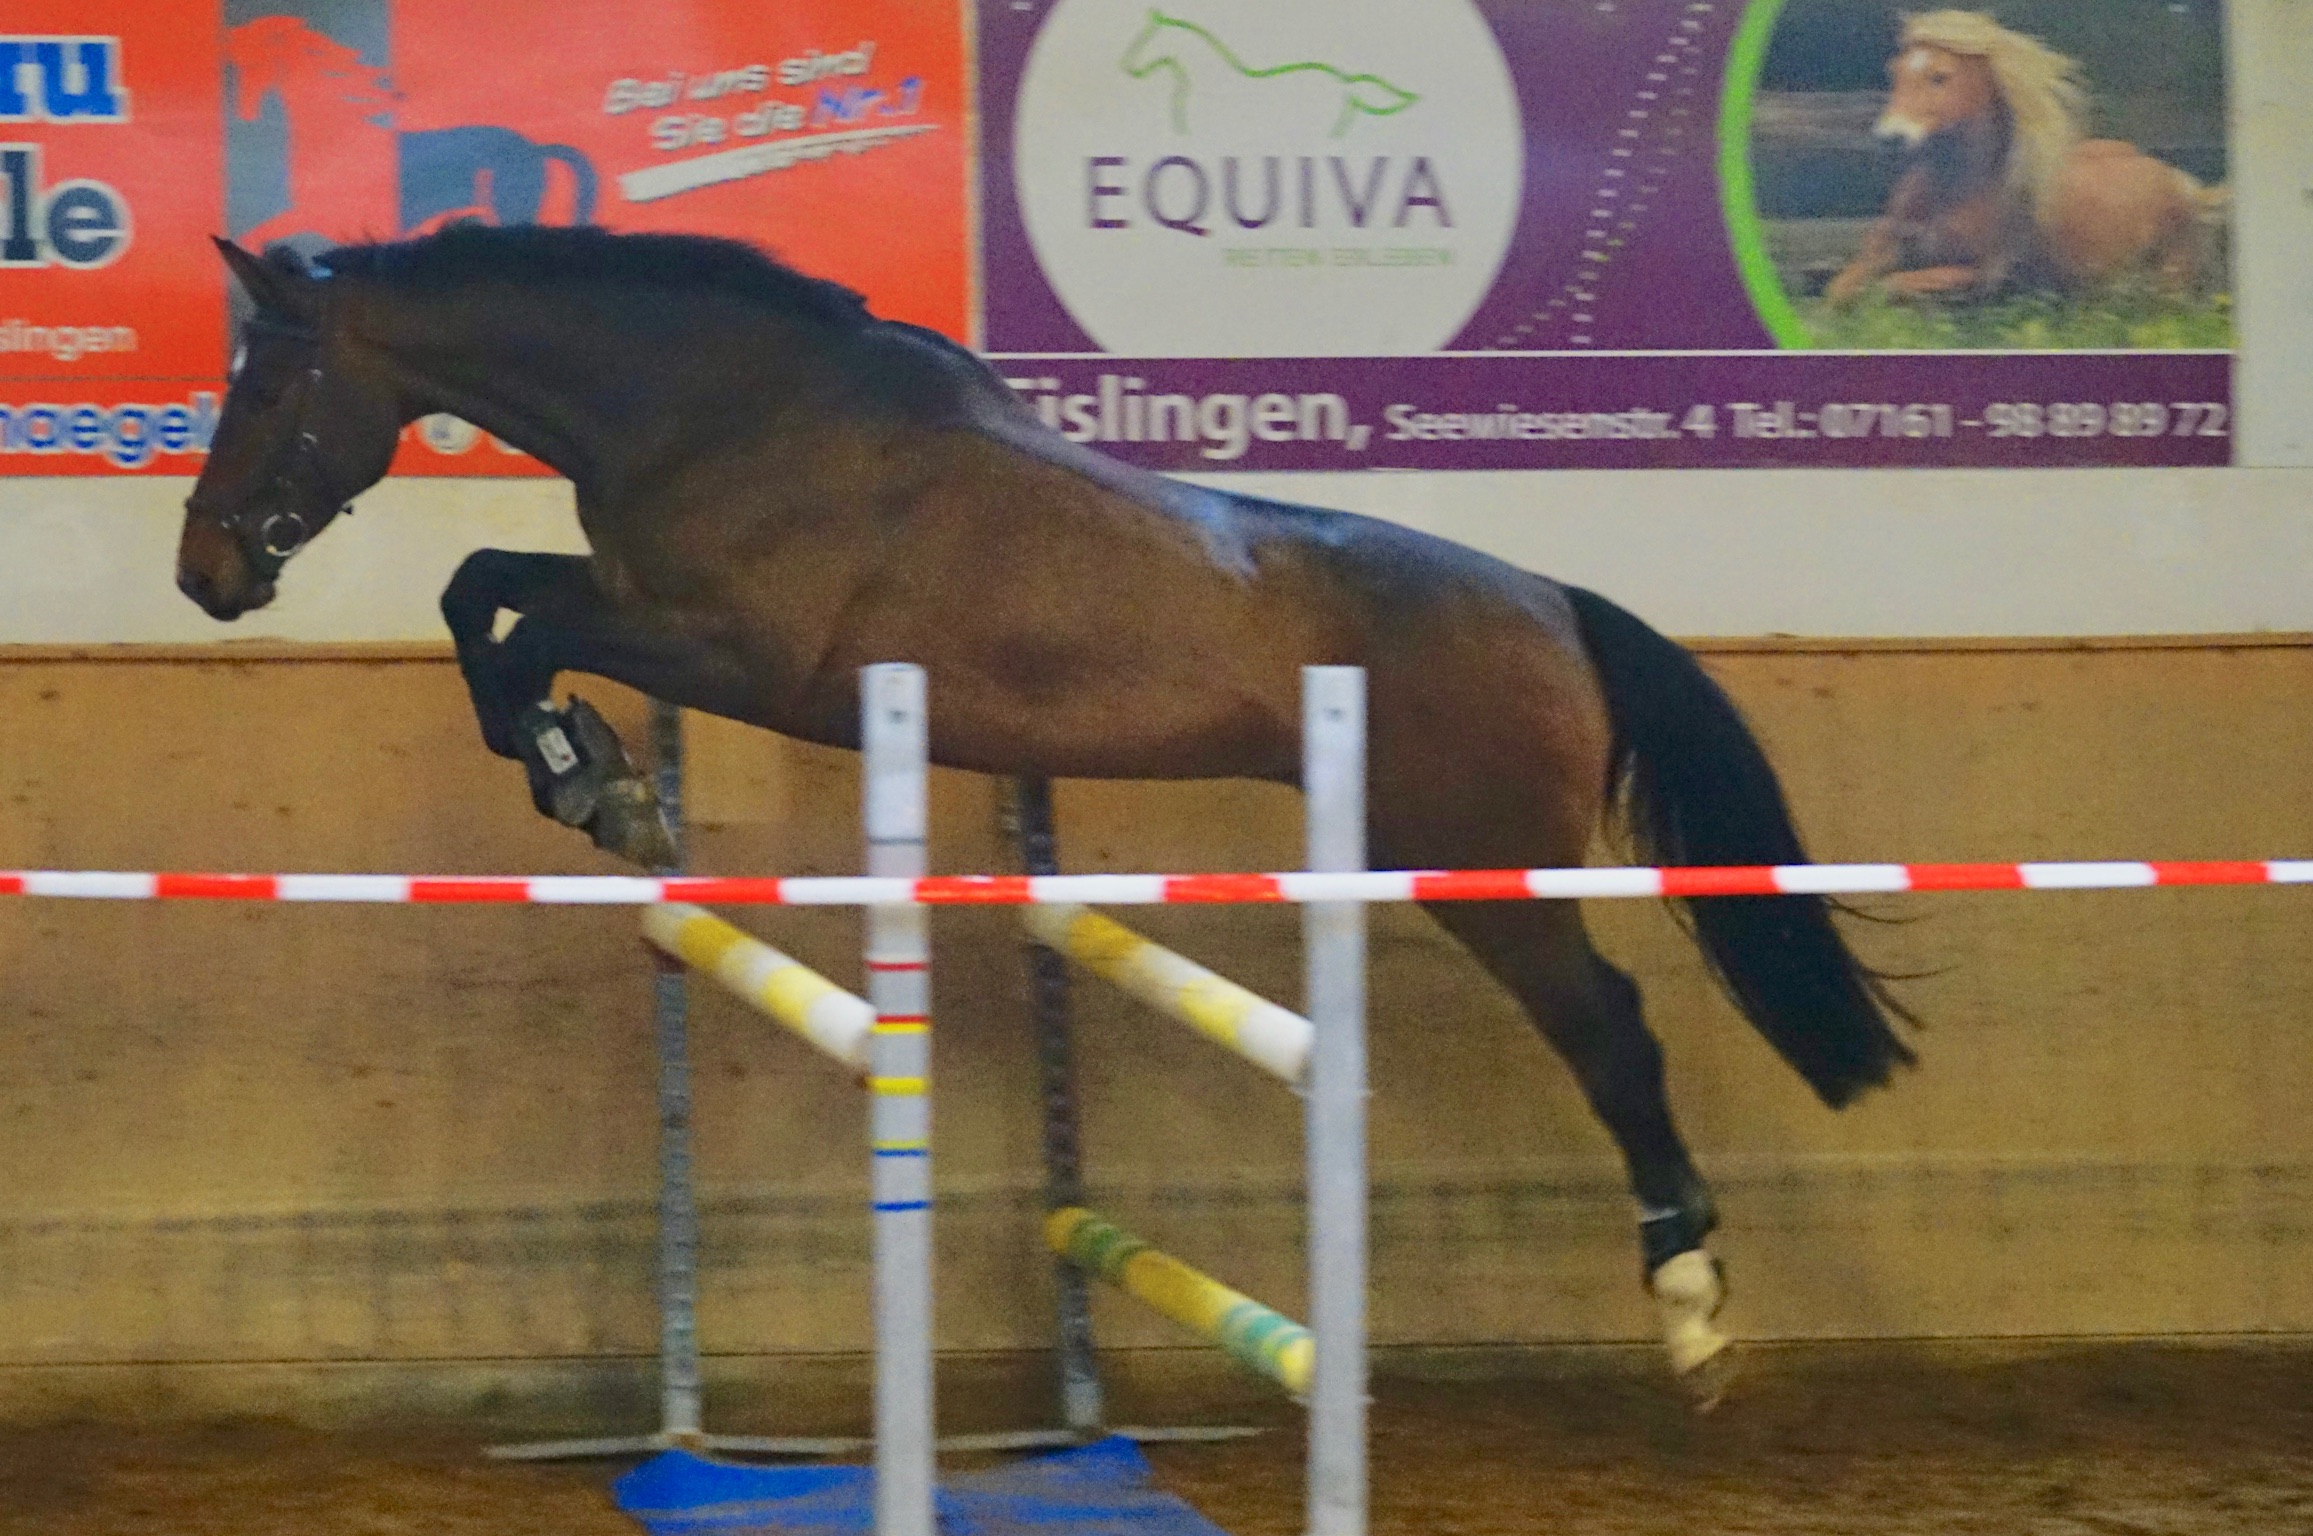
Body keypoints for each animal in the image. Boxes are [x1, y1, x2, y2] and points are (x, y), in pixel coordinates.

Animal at [175, 225, 1914, 1400]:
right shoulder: (647, 608)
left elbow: (518, 623)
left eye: (265, 381)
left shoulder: (734, 653)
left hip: (1475, 864)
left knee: (1612, 1032)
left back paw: (1691, 1309)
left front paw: (594, 783)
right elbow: (491, 590)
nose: (207, 572)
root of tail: (1556, 607)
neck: (726, 410)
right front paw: (594, 779)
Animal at [1824, 9, 2223, 308]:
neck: (1951, 193)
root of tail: (2180, 181)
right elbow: (1841, 288)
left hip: (2168, 278)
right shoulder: (1886, 244)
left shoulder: (1978, 273)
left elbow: (1889, 286)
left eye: (1940, 77)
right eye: (1895, 72)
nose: (1889, 137)